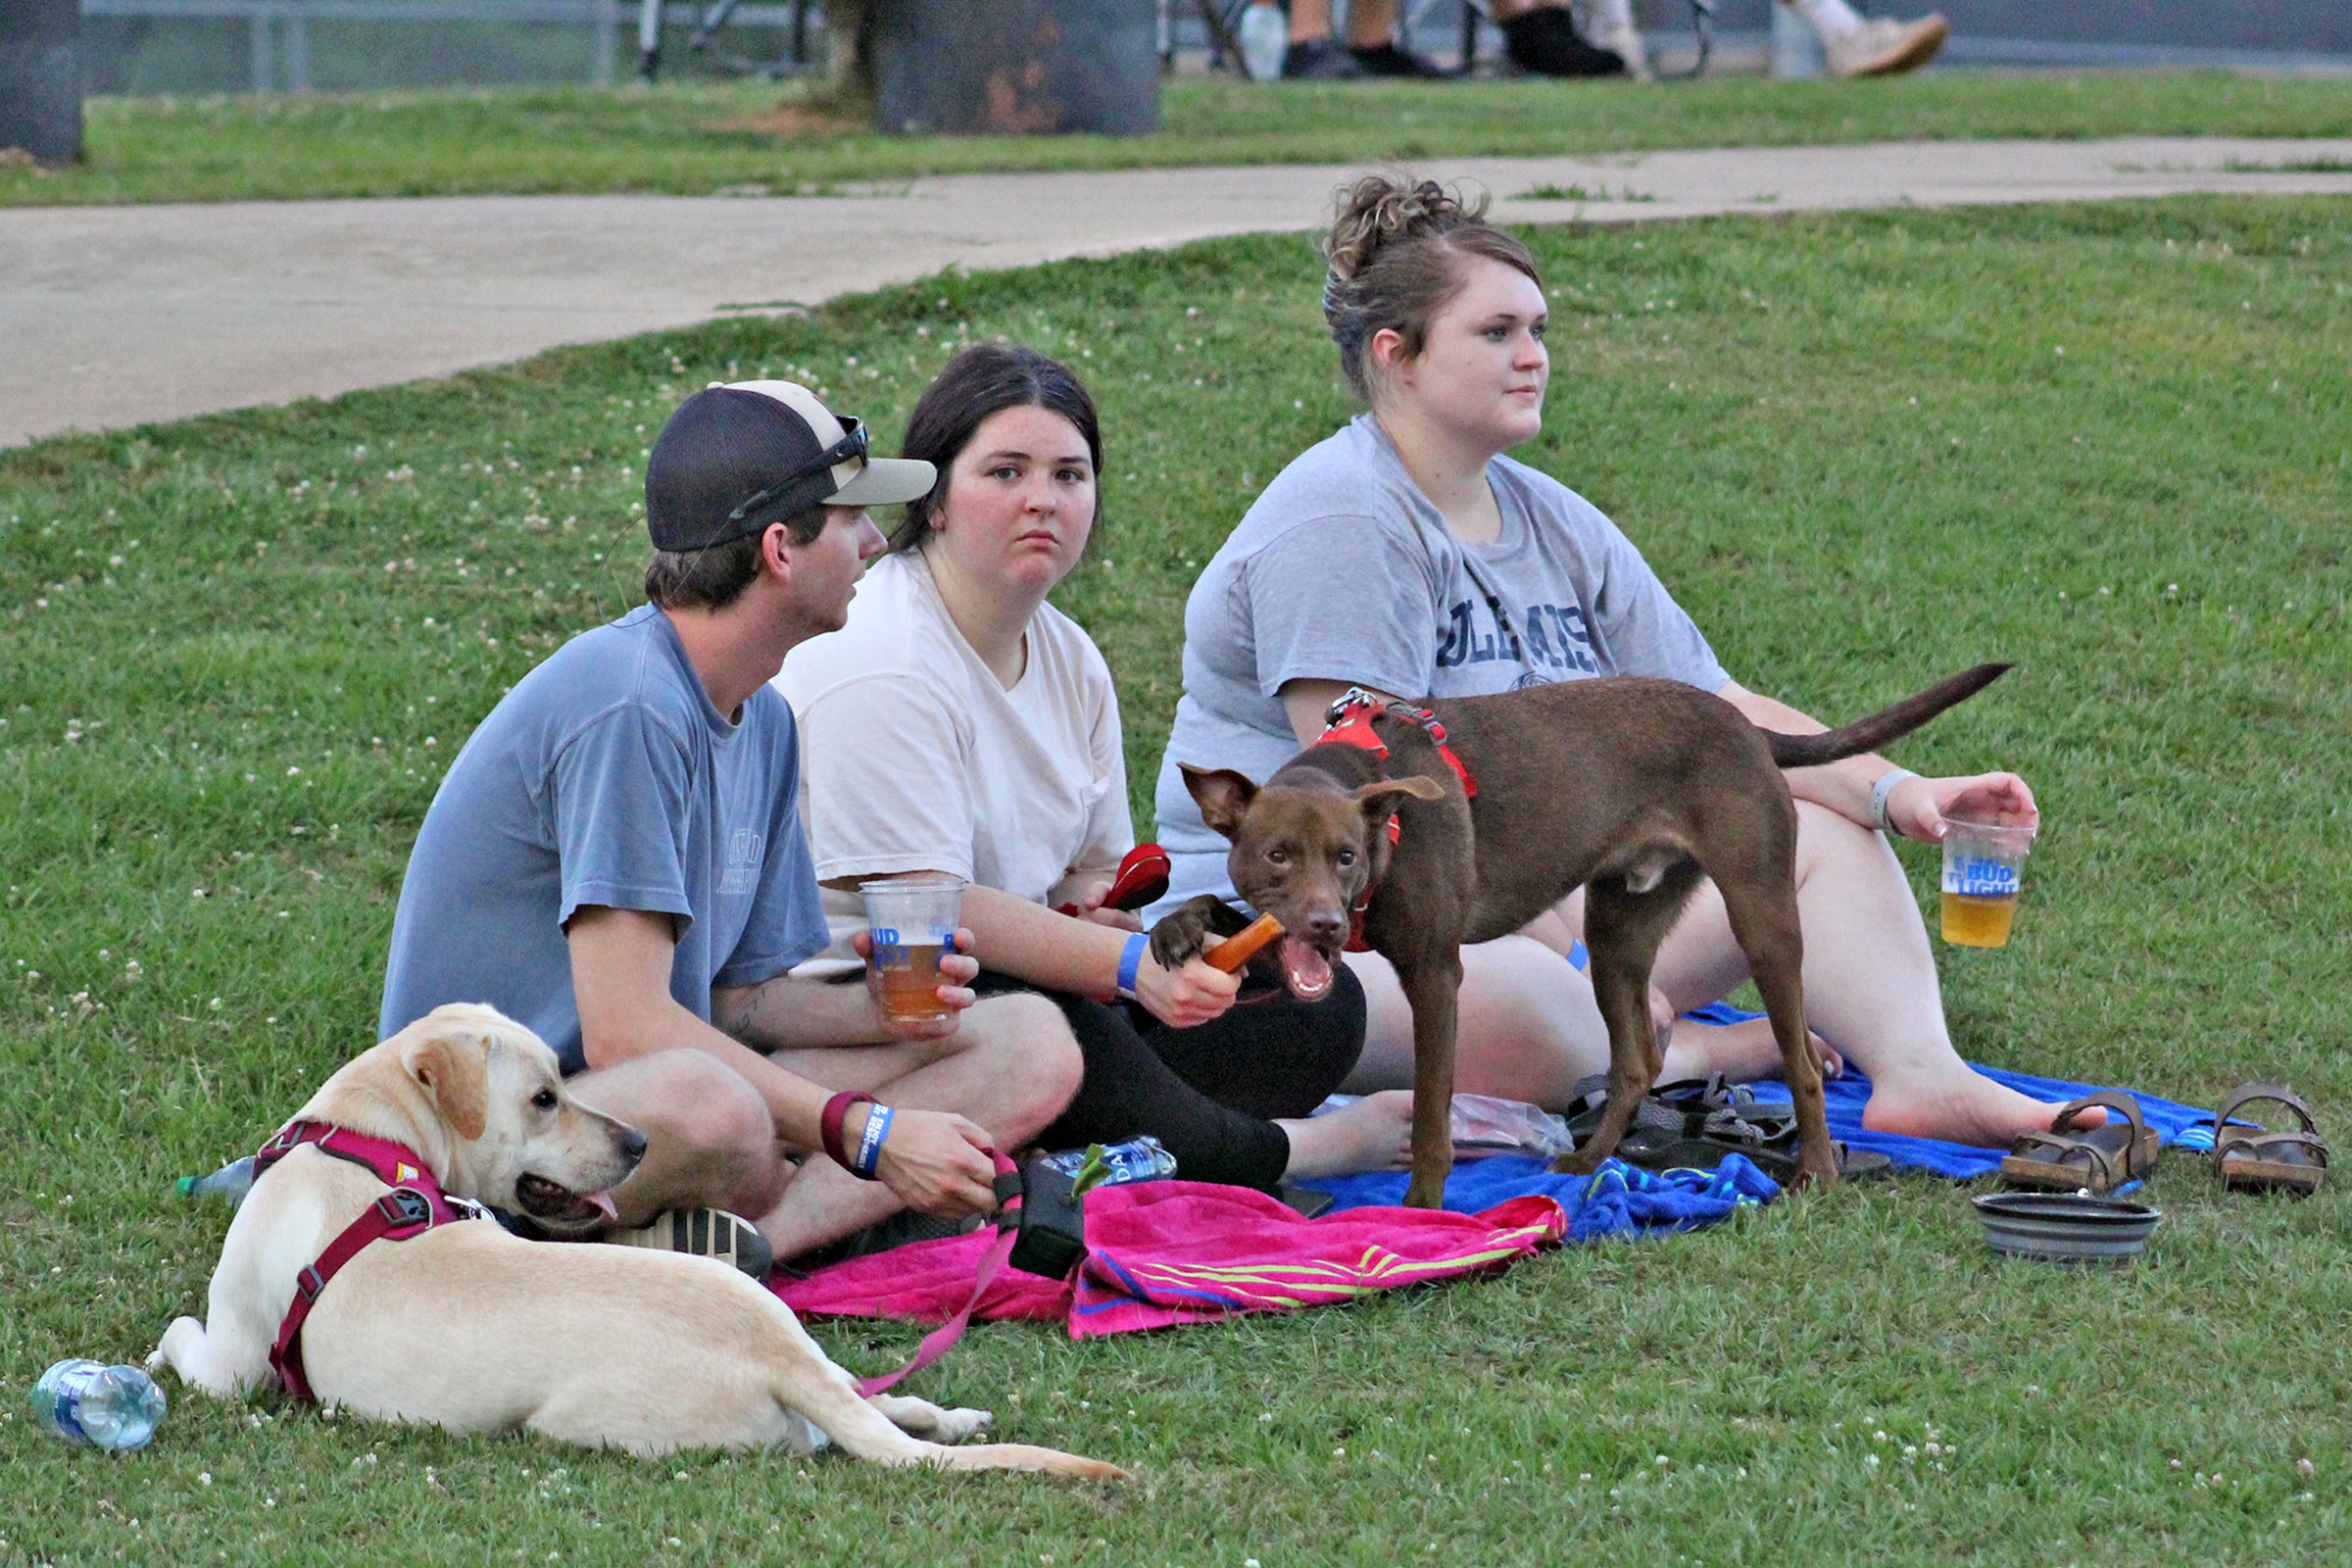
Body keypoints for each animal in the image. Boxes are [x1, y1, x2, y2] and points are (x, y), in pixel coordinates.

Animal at [1156, 667, 2003, 1212]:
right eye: (1276, 855)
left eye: (1346, 857)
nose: (1328, 925)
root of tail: (1744, 725)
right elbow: (1218, 909)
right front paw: (1173, 930)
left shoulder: (1434, 973)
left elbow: (1430, 1112)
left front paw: (1423, 1208)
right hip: (1617, 933)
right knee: (1639, 1061)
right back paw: (1590, 1162)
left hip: (1761, 914)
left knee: (1800, 1061)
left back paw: (1817, 1175)